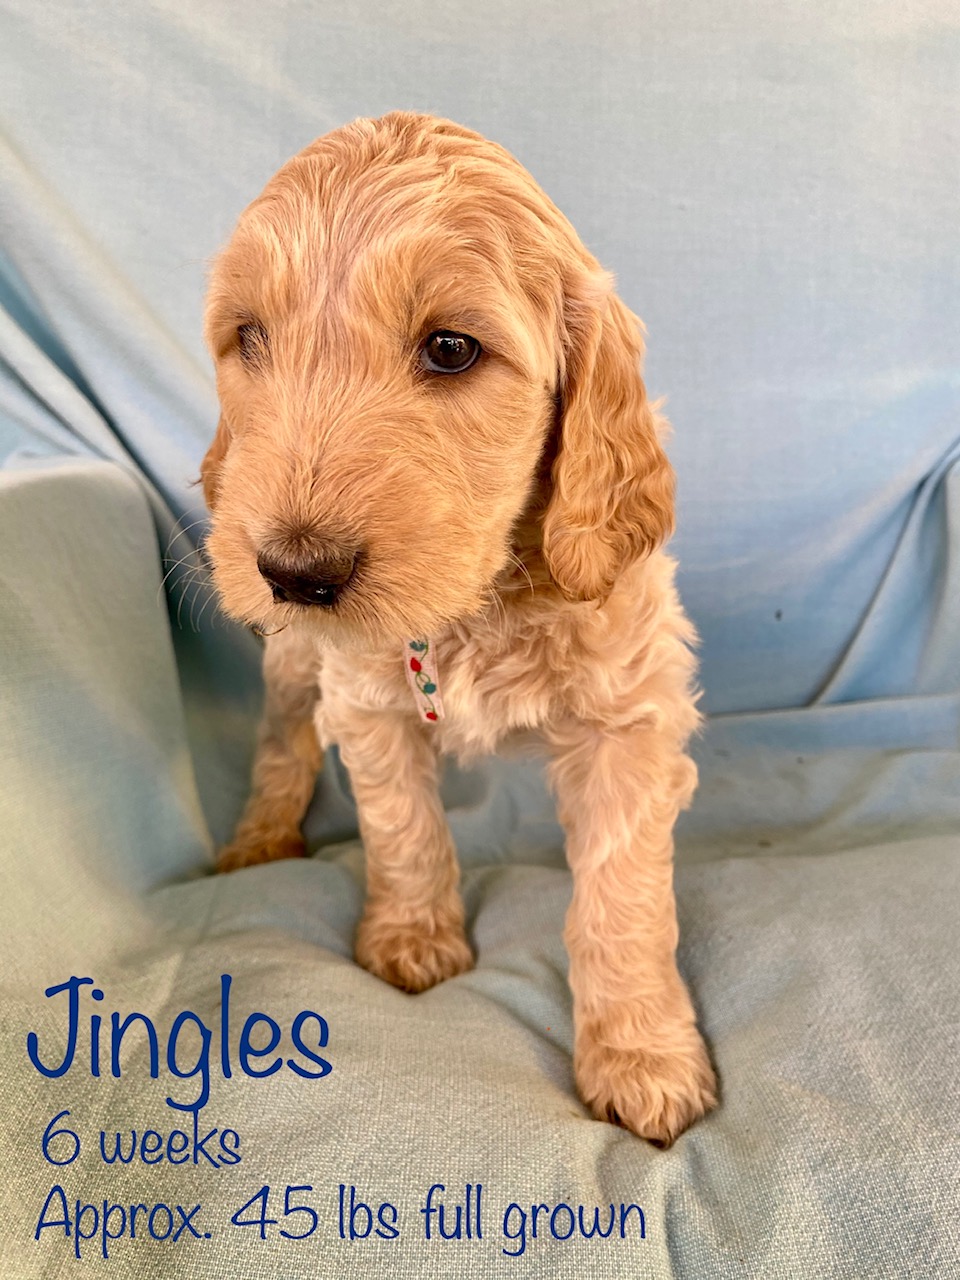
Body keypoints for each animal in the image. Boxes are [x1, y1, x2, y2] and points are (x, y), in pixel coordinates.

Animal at [200, 112, 716, 1145]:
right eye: (249, 337)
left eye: (450, 347)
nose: (295, 573)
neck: (475, 608)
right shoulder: (364, 698)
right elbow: (403, 826)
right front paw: (412, 936)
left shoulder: (631, 719)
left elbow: (624, 898)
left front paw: (642, 1055)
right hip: (292, 661)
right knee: (281, 740)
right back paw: (260, 837)